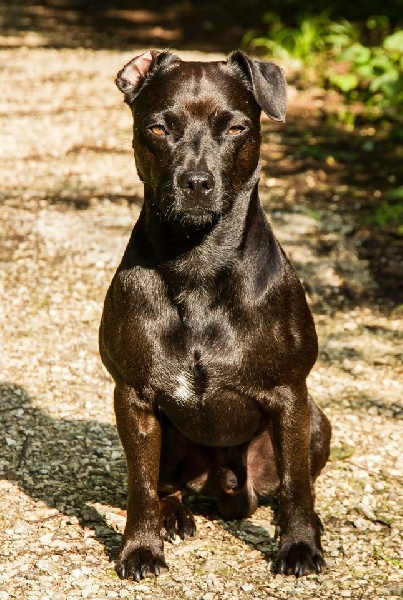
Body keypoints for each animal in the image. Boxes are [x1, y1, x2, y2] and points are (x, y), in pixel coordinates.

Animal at [98, 50, 332, 580]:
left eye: (237, 128)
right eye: (159, 128)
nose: (197, 183)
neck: (197, 265)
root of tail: (222, 487)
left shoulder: (290, 395)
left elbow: (297, 486)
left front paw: (299, 546)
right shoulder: (134, 397)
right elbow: (141, 485)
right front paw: (140, 548)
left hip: (316, 423)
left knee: (294, 484)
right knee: (165, 486)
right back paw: (174, 515)